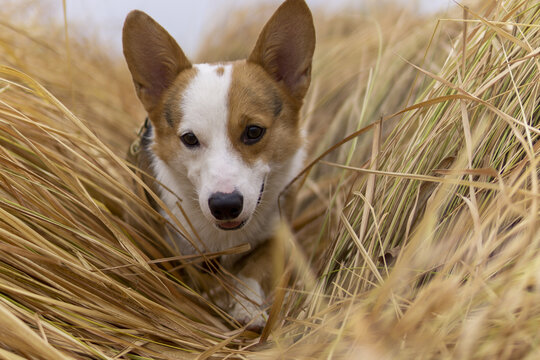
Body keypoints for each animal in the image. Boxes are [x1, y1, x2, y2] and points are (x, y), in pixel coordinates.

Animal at [123, 0, 314, 330]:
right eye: (189, 138)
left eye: (254, 132)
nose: (225, 206)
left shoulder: (276, 237)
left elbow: (254, 270)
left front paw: (247, 308)